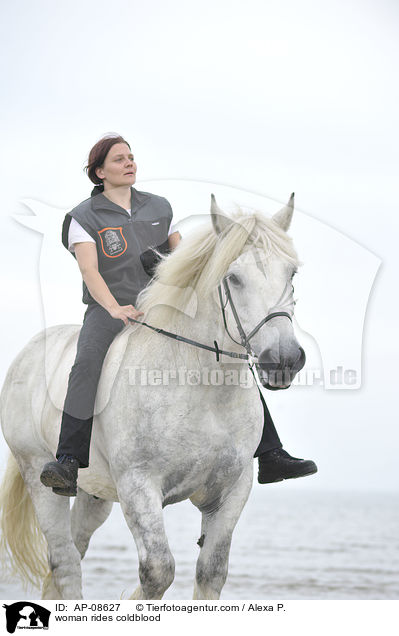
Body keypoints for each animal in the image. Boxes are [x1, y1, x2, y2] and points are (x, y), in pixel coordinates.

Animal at [0, 193, 304, 596]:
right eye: (234, 278)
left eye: (291, 274)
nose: (284, 360)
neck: (203, 389)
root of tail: (28, 353)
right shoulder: (139, 486)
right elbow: (158, 571)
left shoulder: (231, 491)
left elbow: (212, 571)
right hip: (39, 476)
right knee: (65, 562)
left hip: (93, 494)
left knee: (73, 552)